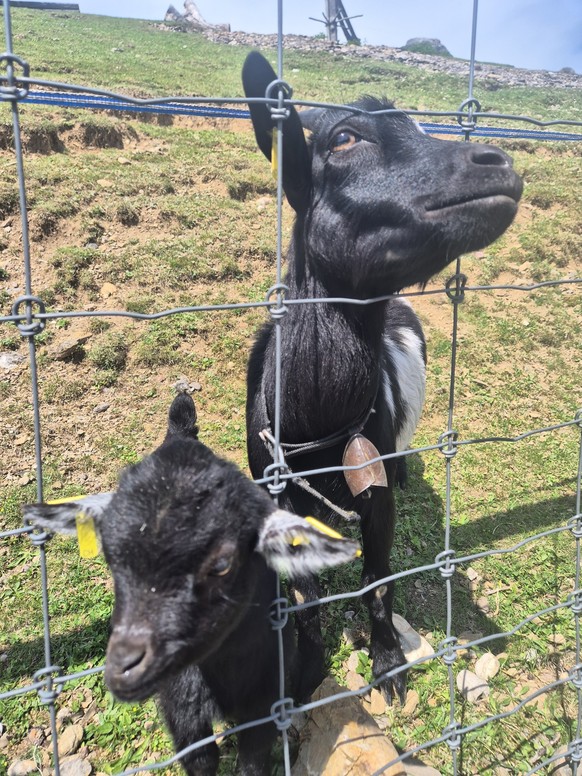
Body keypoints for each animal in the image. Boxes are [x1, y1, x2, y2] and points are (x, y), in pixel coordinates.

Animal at [23, 392, 360, 776]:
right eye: (111, 557)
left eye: (223, 563)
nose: (122, 670)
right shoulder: (181, 707)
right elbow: (201, 758)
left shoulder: (265, 698)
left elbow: (253, 759)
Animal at [243, 51, 523, 703]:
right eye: (344, 138)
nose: (499, 163)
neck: (317, 428)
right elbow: (304, 598)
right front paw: (303, 675)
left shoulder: (377, 504)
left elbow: (377, 577)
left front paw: (389, 664)